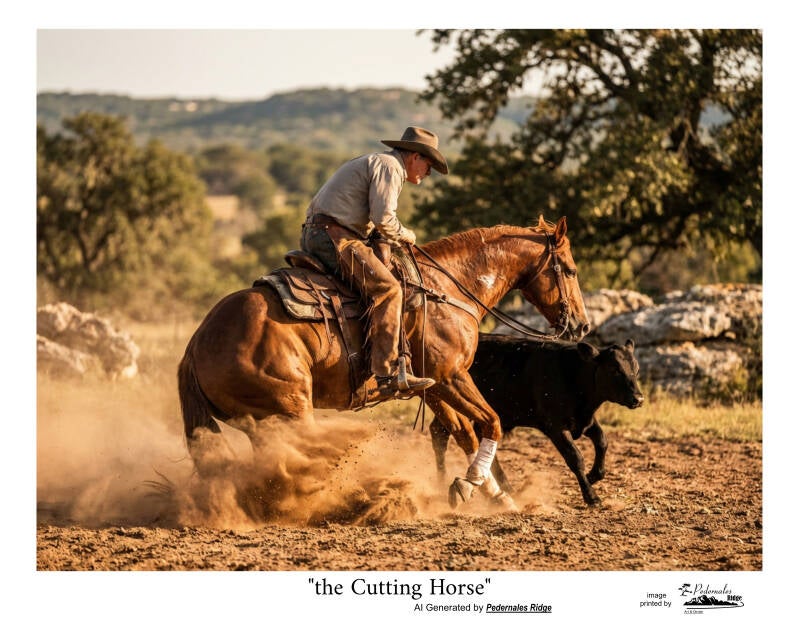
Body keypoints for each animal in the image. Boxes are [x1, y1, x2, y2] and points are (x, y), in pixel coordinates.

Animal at [178, 216, 590, 511]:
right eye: (570, 270)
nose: (582, 324)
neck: (445, 290)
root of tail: (196, 344)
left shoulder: (434, 385)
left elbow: (465, 432)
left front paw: (490, 494)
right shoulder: (452, 376)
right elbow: (491, 422)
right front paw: (471, 484)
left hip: (265, 423)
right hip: (289, 409)